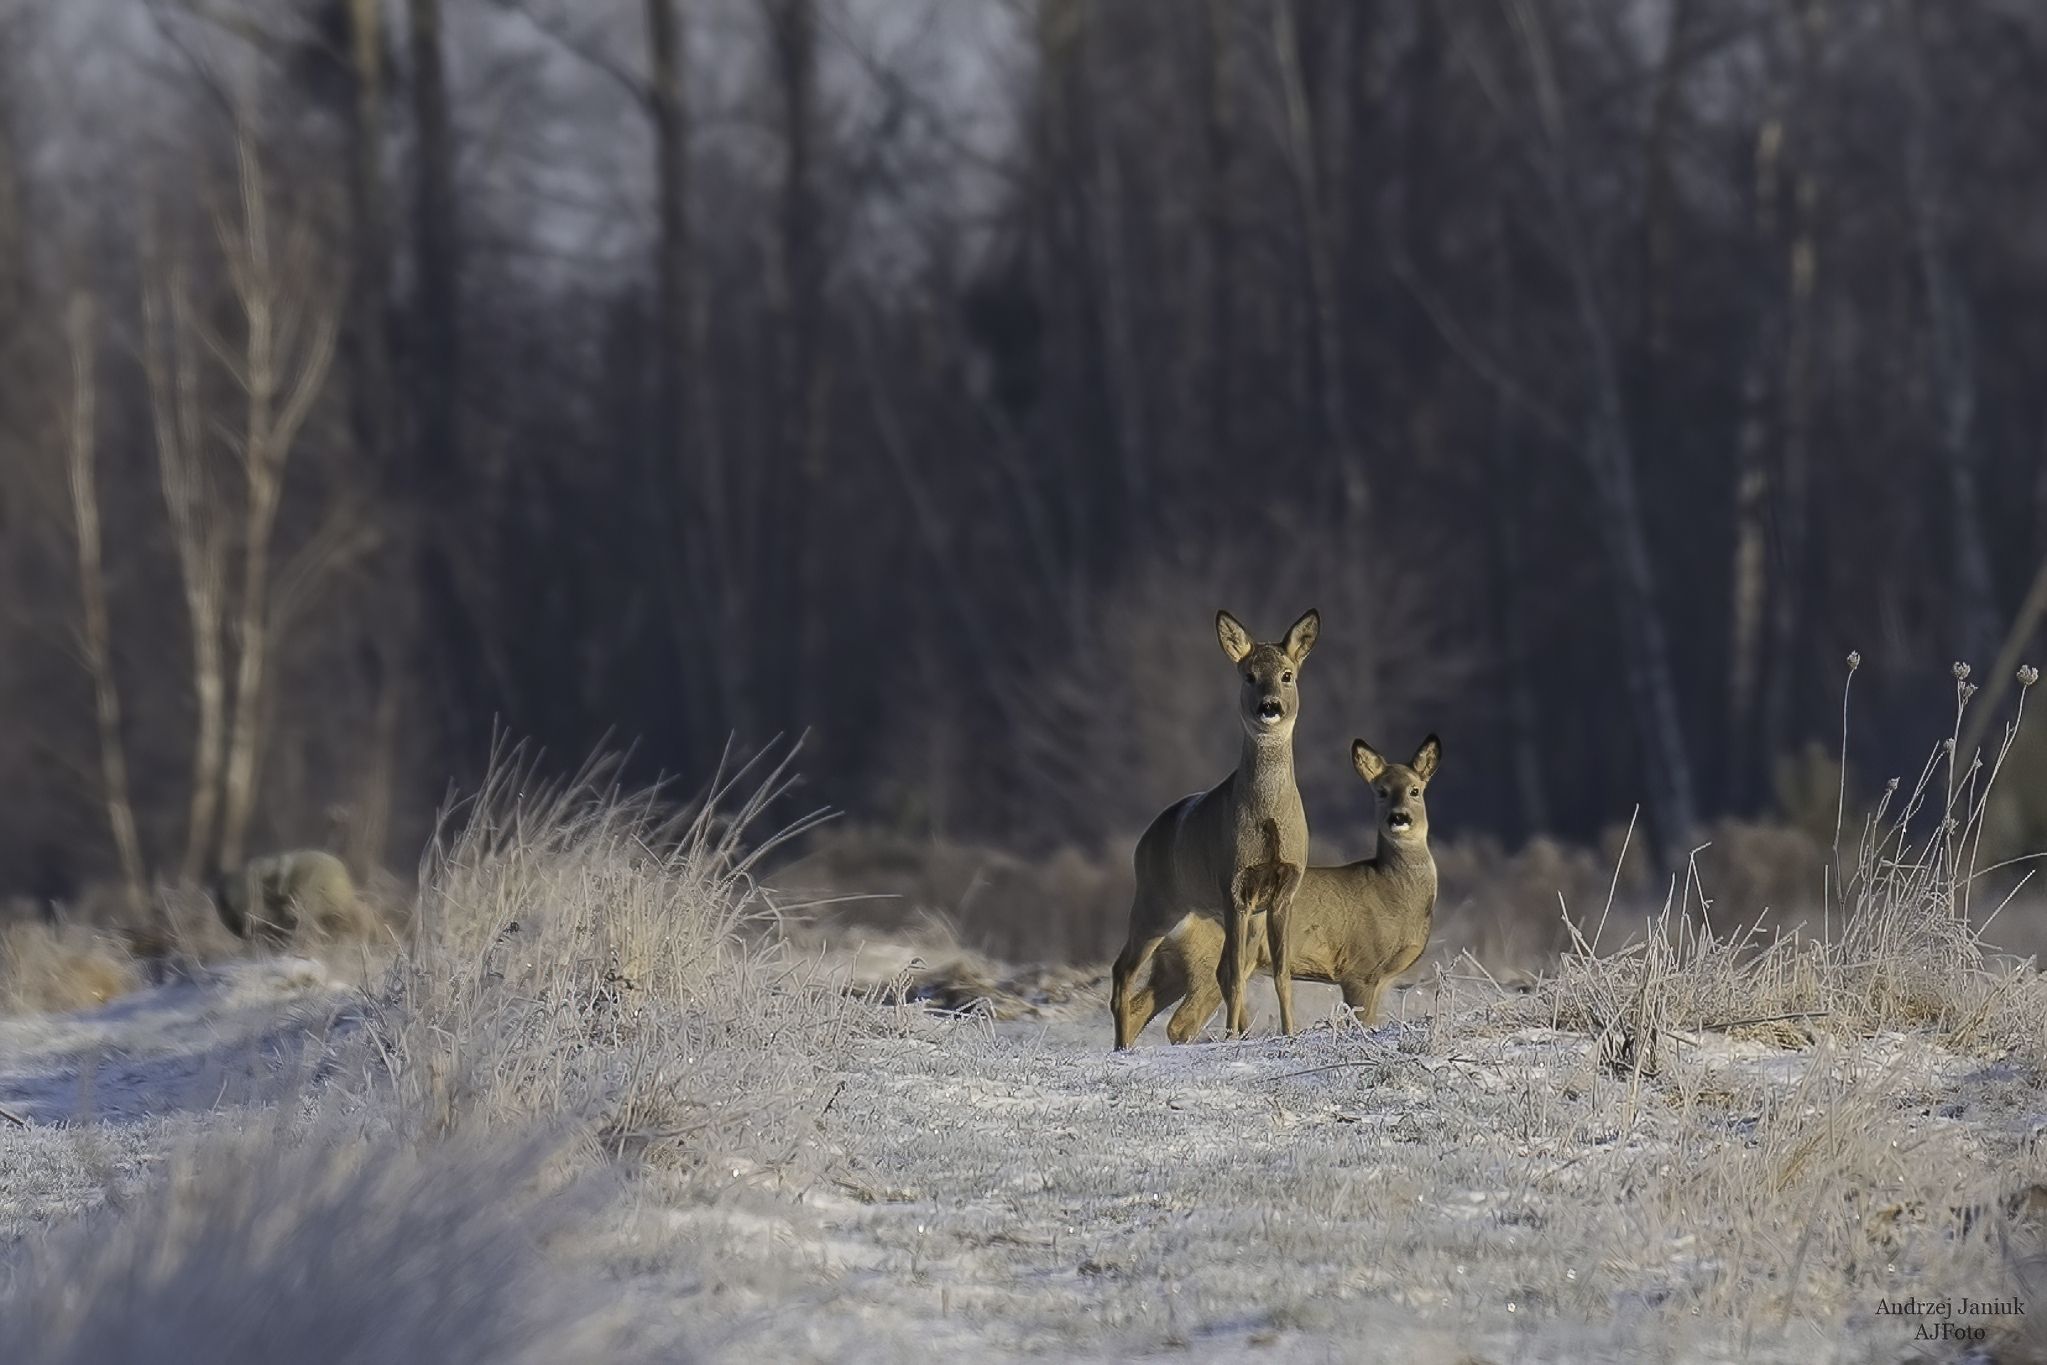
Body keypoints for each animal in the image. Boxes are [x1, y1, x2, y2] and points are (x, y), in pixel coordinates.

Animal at [1113, 609, 1318, 1047]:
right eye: (1249, 675)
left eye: (1288, 674)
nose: (1269, 706)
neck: (1268, 819)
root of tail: (1143, 840)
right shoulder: (1233, 885)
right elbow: (1236, 977)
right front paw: (1231, 1038)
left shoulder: (1284, 890)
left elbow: (1281, 974)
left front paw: (1289, 1033)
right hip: (1156, 902)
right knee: (1122, 969)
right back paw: (1121, 1046)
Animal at [1121, 736, 1441, 1047]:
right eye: (1381, 791)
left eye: (1415, 790)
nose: (1399, 818)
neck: (1392, 891)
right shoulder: (1358, 969)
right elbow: (1361, 1020)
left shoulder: (1382, 979)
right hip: (1205, 961)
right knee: (1181, 1021)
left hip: (1174, 965)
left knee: (1142, 1007)